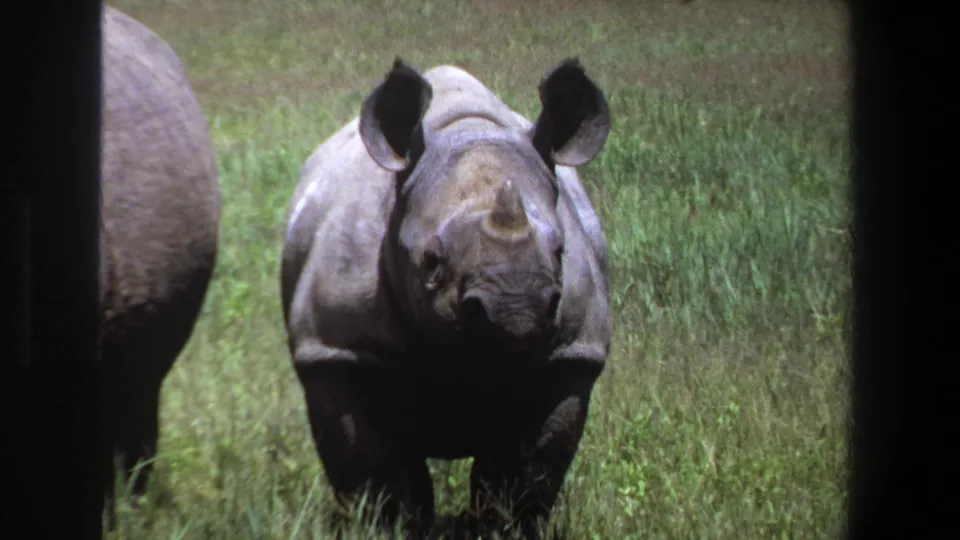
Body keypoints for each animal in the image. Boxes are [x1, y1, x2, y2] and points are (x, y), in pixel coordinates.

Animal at [281, 58, 611, 538]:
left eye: (559, 251)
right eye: (432, 262)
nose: (515, 310)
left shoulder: (570, 354)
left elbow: (523, 475)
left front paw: (502, 529)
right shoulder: (336, 350)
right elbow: (376, 474)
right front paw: (392, 529)